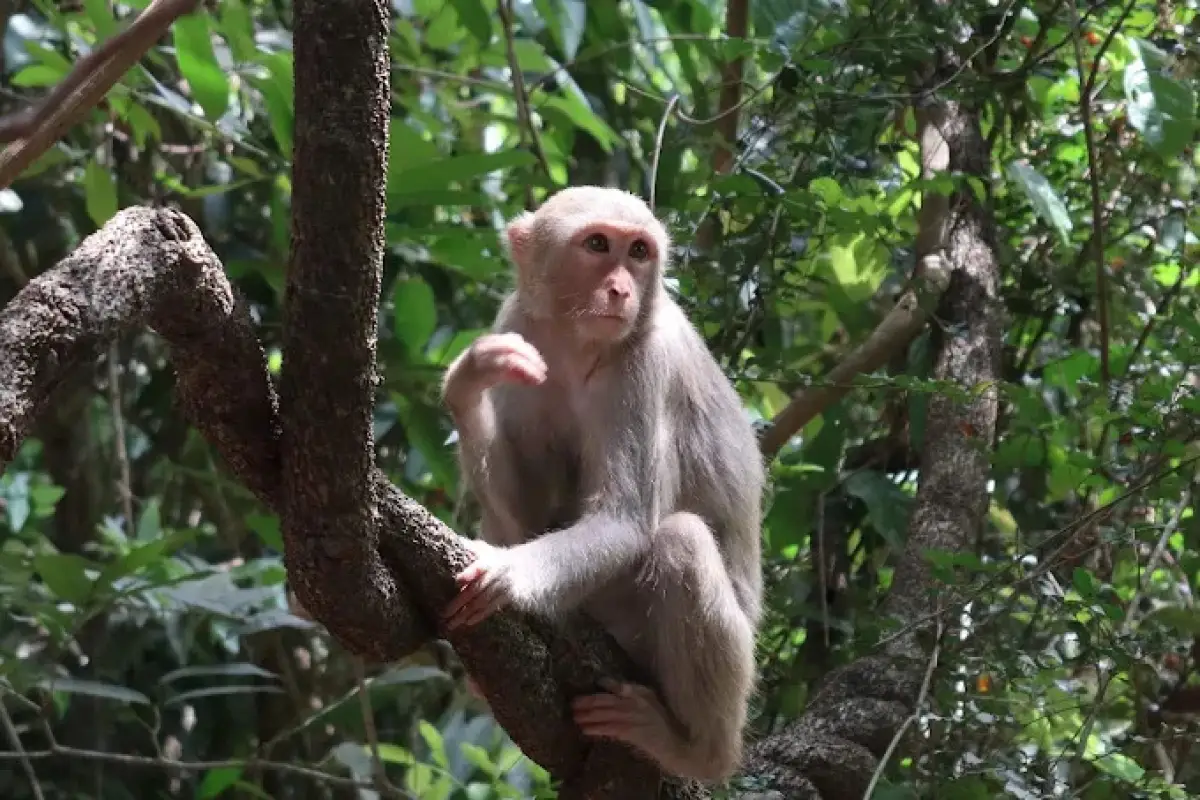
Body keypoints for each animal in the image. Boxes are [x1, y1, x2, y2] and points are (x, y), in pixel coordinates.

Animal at [440, 185, 765, 783]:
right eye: (597, 245)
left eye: (638, 252)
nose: (621, 289)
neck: (579, 343)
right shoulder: (520, 324)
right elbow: (525, 516)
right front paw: (467, 381)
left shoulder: (645, 363)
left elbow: (625, 522)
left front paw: (506, 574)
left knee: (681, 541)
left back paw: (697, 752)